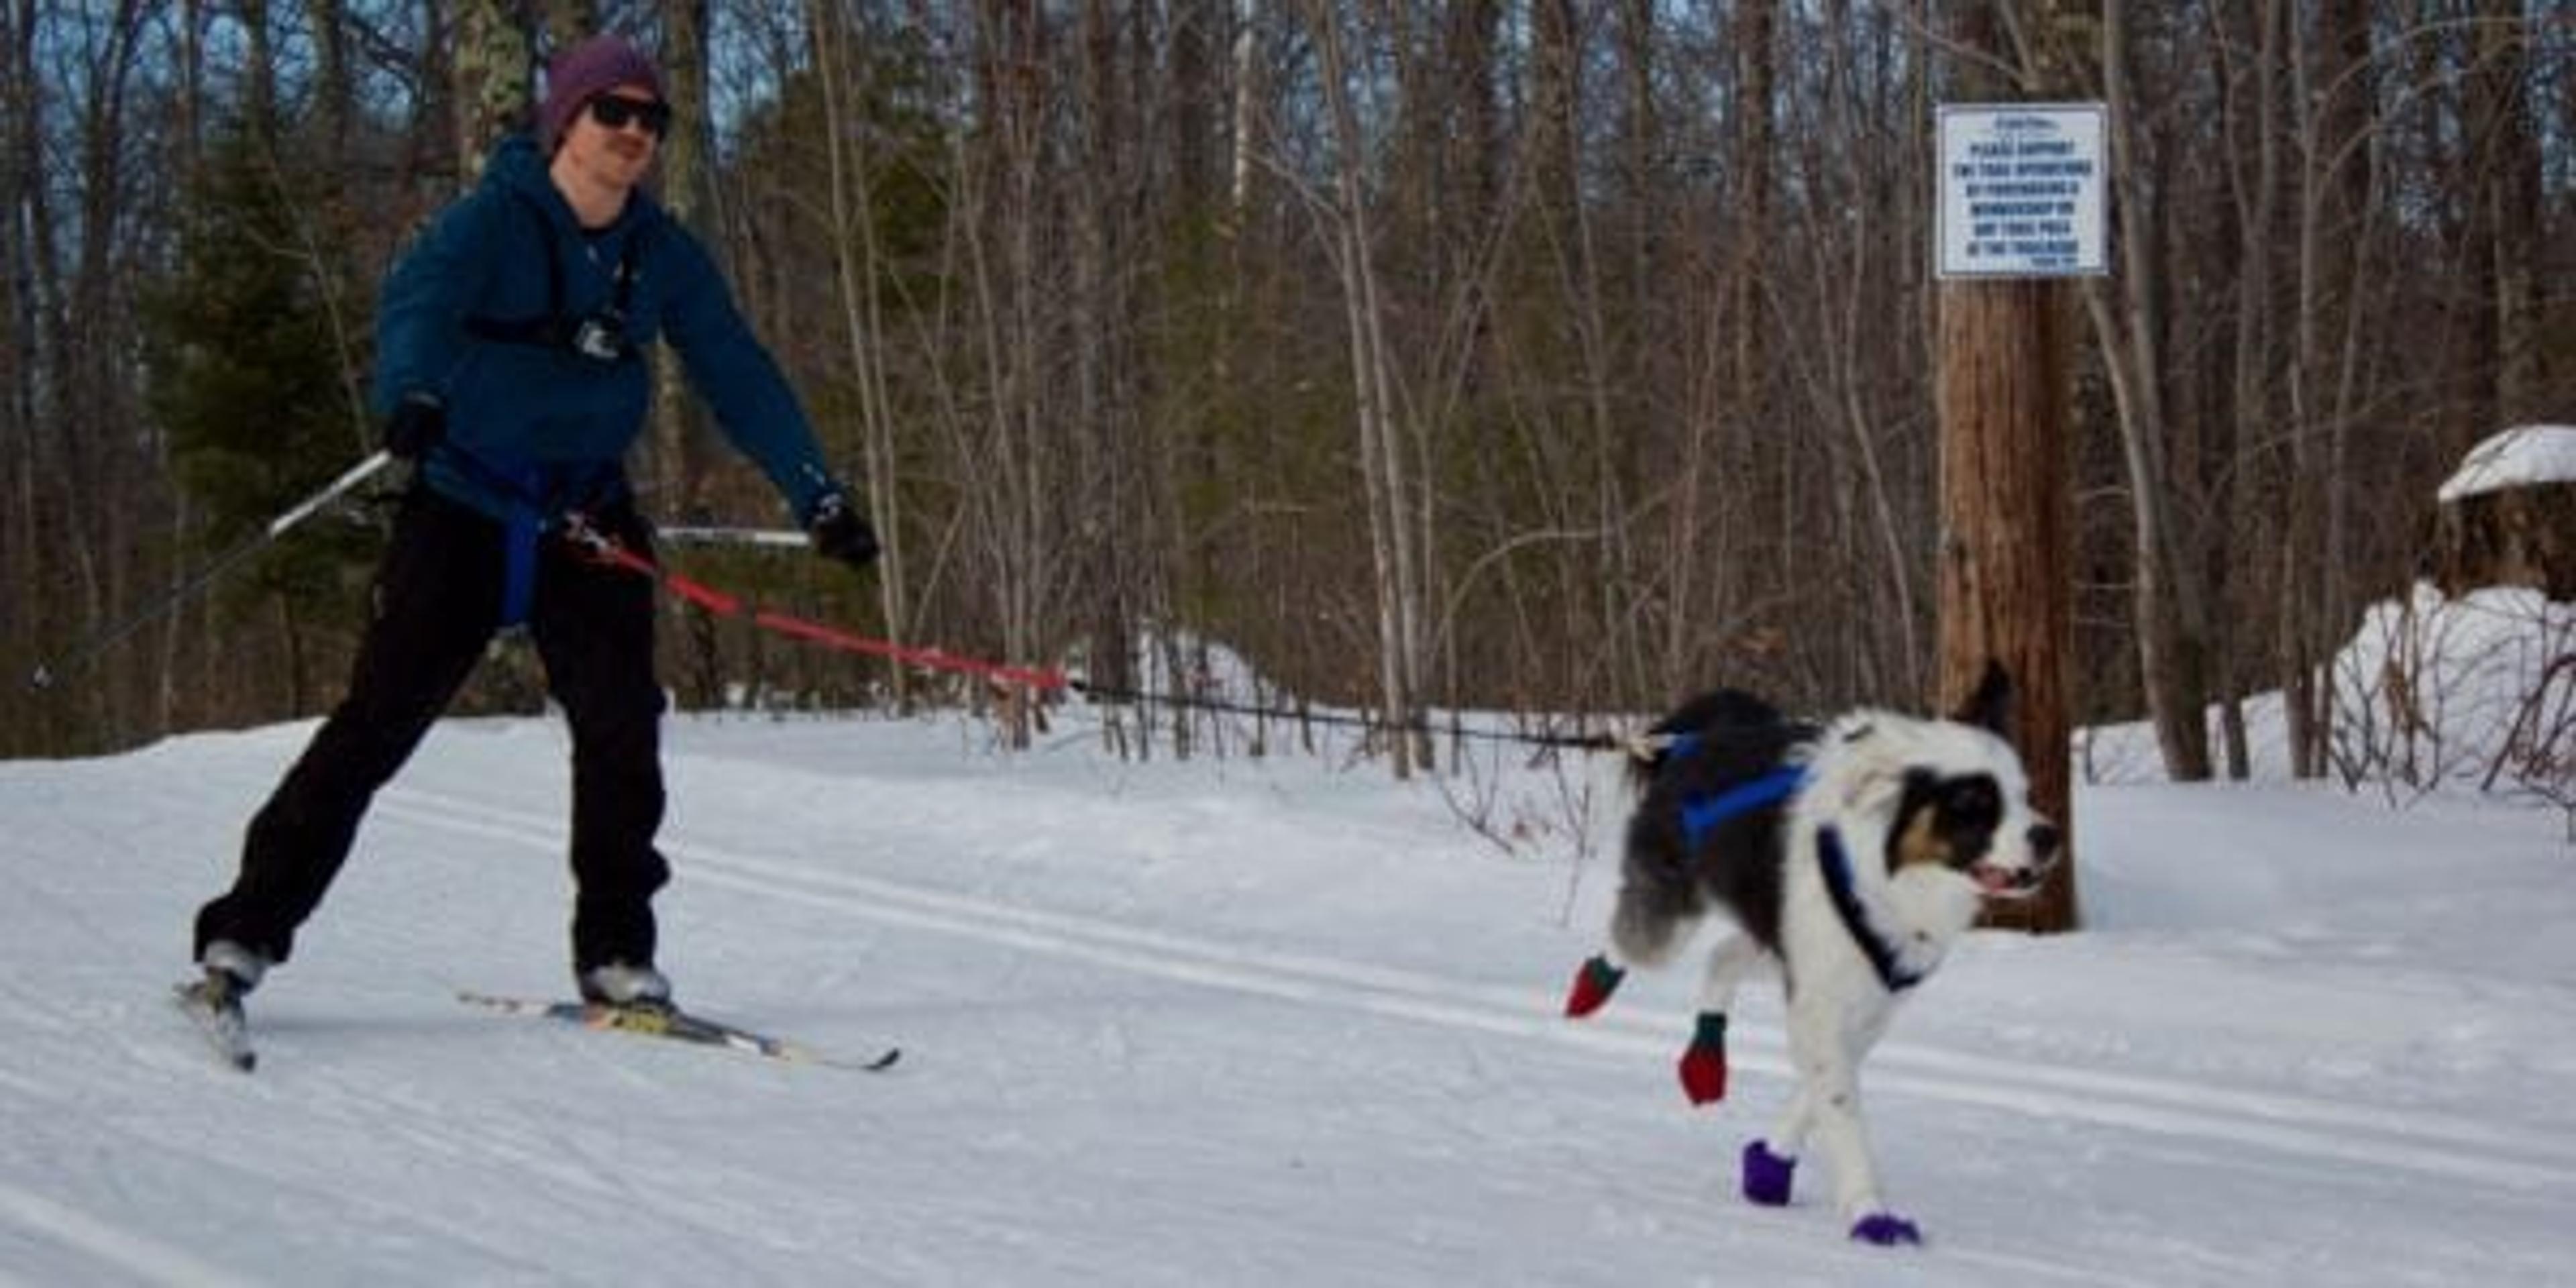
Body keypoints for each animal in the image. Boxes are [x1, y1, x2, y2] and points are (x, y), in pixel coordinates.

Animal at [1556, 659, 2061, 1241]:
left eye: (2022, 793)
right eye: (1974, 803)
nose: (2049, 836)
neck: (1891, 878)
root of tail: (1697, 740)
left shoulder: (1865, 1000)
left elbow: (1817, 1091)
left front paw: (1771, 1164)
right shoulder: (1821, 998)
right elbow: (1839, 1106)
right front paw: (1870, 1212)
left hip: (1774, 939)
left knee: (1721, 956)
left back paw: (1705, 1059)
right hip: (1673, 917)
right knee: (1632, 944)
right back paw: (1590, 990)